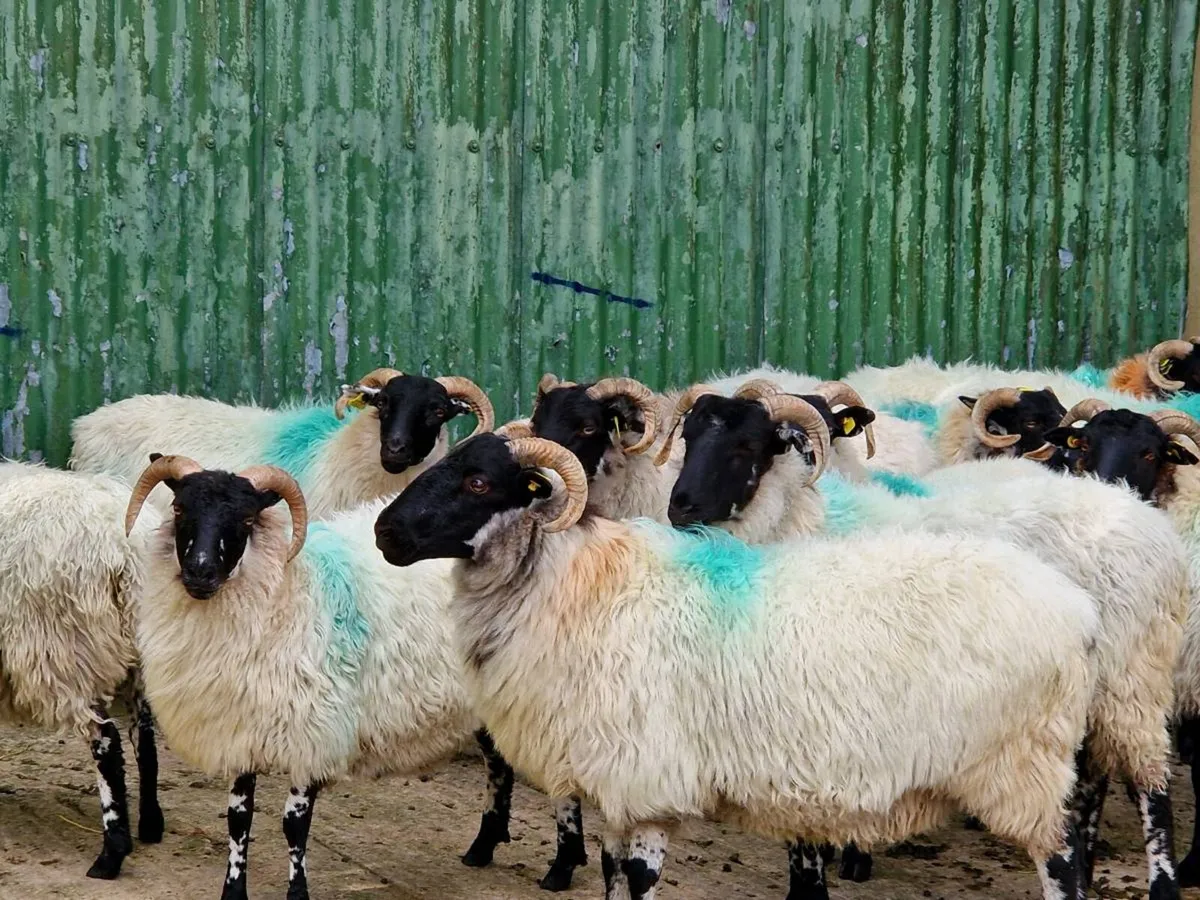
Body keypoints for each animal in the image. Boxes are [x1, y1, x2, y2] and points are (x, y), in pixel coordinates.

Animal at [0, 462, 164, 879]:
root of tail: (128, 549)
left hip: (61, 650)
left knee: (107, 742)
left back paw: (111, 854)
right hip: (140, 652)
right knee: (145, 738)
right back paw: (151, 825)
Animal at [372, 433, 1103, 900]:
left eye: (477, 481)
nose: (384, 532)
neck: (570, 583)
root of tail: (1075, 609)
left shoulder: (647, 780)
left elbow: (637, 883)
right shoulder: (614, 783)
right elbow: (609, 879)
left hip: (1024, 763)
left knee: (1063, 860)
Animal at [663, 390, 1189, 900]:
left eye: (748, 444)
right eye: (688, 436)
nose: (680, 508)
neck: (806, 517)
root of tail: (1150, 521)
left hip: (1134, 679)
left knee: (1152, 786)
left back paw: (1162, 883)